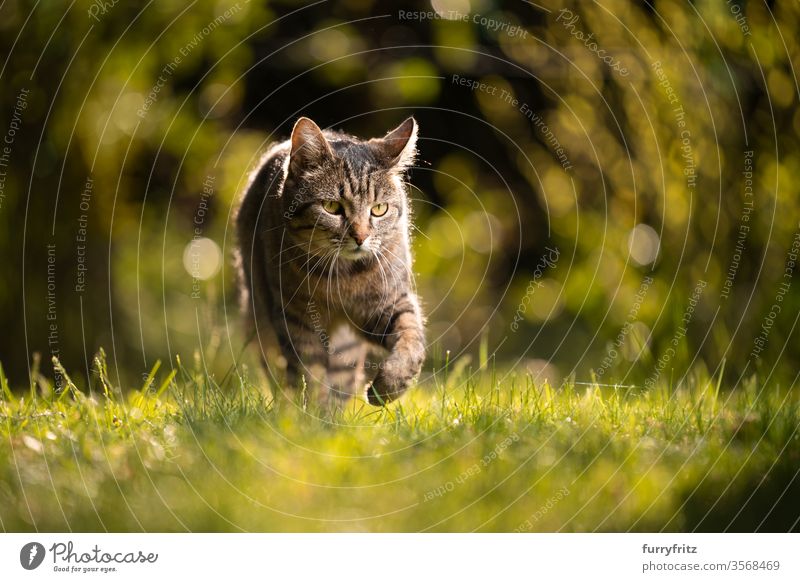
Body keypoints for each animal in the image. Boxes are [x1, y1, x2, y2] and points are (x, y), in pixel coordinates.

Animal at [236, 117, 428, 408]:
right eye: (331, 207)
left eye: (379, 209)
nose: (360, 236)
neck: (344, 276)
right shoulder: (296, 318)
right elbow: (309, 374)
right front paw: (309, 414)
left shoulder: (388, 303)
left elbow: (411, 339)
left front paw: (390, 385)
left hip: (345, 347)